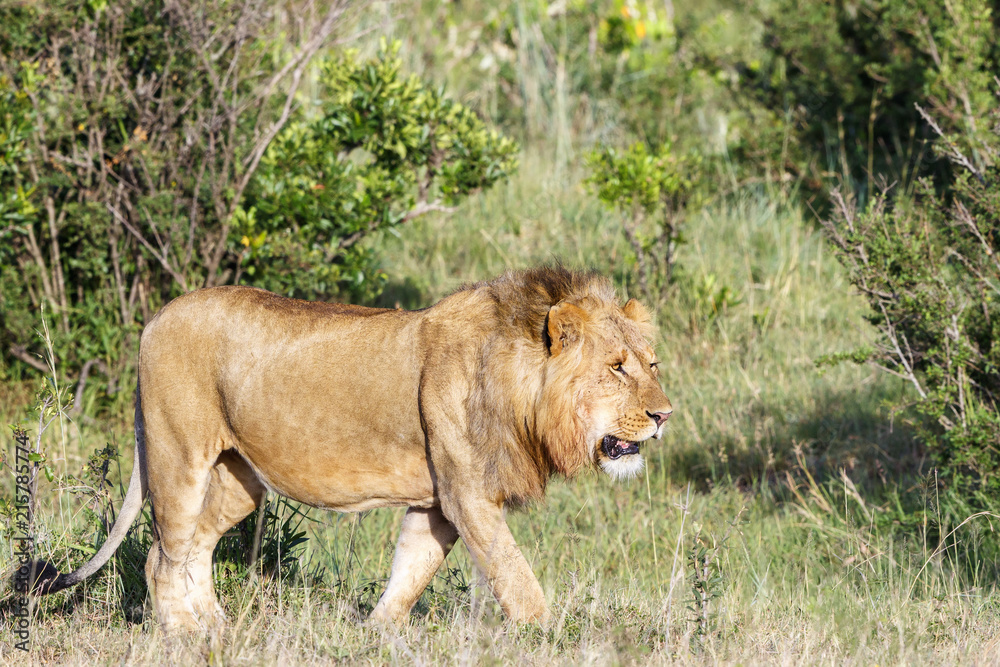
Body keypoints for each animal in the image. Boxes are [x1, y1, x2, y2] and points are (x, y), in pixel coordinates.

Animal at [32, 266, 672, 631]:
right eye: (616, 368)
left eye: (652, 365)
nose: (664, 416)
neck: (521, 387)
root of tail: (154, 317)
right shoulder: (468, 496)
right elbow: (515, 576)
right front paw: (549, 638)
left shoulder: (437, 502)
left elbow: (411, 570)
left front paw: (376, 634)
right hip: (177, 456)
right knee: (161, 556)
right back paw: (184, 638)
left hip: (239, 479)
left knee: (193, 549)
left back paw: (217, 628)